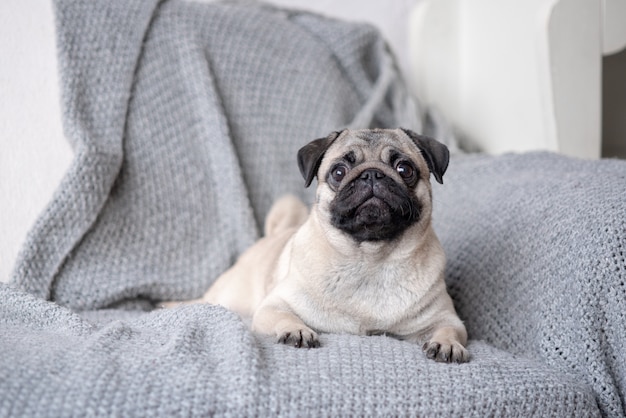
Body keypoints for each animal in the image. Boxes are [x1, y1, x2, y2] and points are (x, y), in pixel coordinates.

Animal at [168, 127, 466, 362]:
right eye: (339, 171)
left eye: (404, 169)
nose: (372, 174)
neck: (370, 259)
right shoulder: (272, 306)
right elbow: (285, 316)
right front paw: (297, 330)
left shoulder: (446, 318)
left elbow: (450, 330)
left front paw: (448, 344)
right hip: (227, 295)